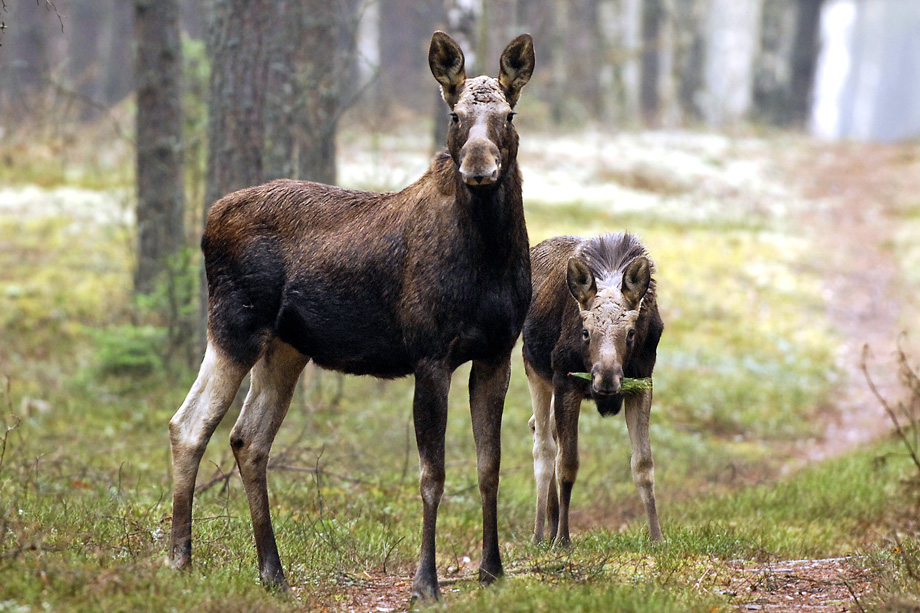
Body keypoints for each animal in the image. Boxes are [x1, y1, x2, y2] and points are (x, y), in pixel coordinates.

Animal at [169, 31, 536, 600]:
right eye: (454, 114)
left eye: (509, 115)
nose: (479, 168)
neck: (490, 259)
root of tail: (208, 222)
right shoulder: (430, 354)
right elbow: (432, 475)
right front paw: (424, 582)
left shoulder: (497, 352)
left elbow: (489, 465)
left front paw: (492, 571)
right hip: (234, 325)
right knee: (189, 425)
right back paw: (181, 559)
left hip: (285, 348)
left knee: (247, 439)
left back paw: (272, 571)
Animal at [524, 232, 660, 544]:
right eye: (585, 332)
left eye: (631, 333)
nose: (606, 379)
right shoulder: (566, 379)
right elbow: (568, 464)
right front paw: (563, 540)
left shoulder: (643, 380)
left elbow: (643, 464)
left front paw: (657, 538)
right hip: (535, 371)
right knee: (544, 446)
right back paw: (540, 533)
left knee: (542, 427)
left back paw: (551, 524)